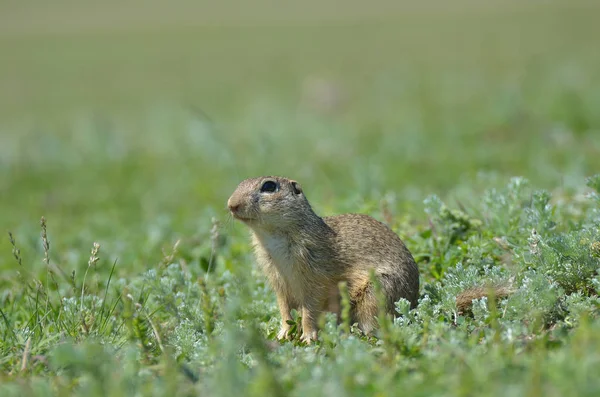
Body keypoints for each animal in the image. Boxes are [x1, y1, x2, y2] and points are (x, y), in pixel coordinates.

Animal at [227, 175, 420, 342]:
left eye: (269, 186)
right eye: (240, 183)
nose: (231, 205)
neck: (272, 237)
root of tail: (414, 302)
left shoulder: (316, 278)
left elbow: (310, 310)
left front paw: (307, 338)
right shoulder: (277, 279)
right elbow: (284, 309)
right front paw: (283, 335)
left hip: (375, 294)